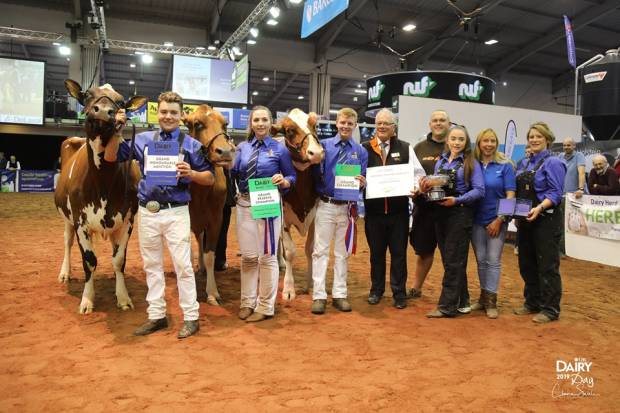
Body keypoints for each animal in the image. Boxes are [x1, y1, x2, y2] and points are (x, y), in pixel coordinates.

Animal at [54, 79, 147, 312]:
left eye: (121, 101)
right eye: (87, 94)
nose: (104, 111)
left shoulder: (127, 220)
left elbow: (119, 259)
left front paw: (123, 297)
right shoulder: (80, 221)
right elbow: (89, 260)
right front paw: (87, 300)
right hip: (67, 218)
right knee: (67, 242)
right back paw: (65, 273)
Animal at [274, 108, 326, 298]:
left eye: (314, 125)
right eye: (289, 130)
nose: (316, 153)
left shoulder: (315, 217)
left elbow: (310, 249)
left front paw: (310, 283)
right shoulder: (284, 219)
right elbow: (290, 252)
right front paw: (289, 289)